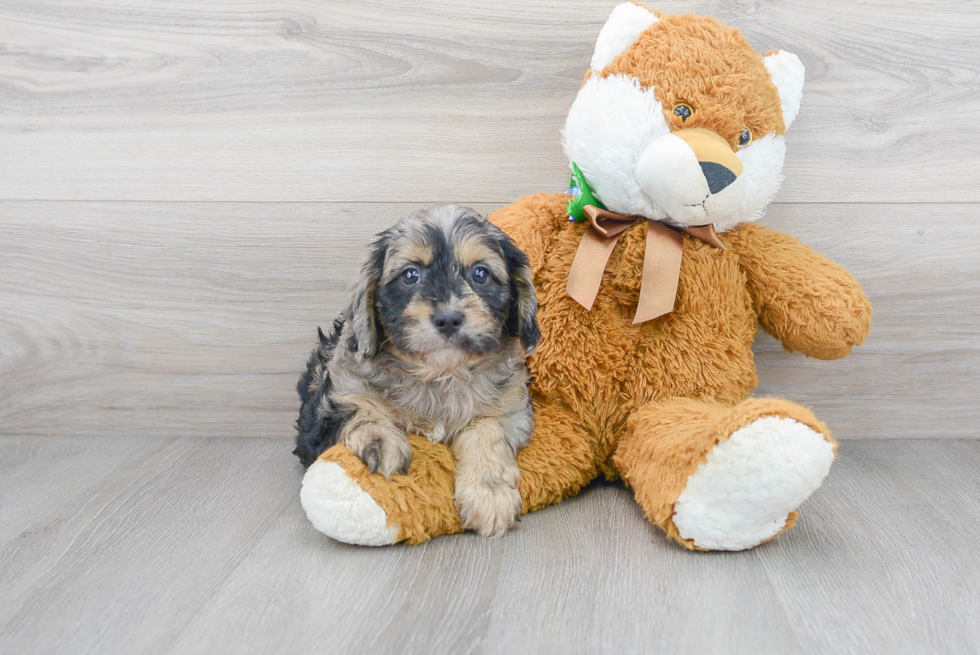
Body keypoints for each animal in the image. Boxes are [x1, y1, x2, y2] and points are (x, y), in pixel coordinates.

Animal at [294, 205, 540, 540]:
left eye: (480, 274)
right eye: (410, 275)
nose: (448, 319)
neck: (438, 374)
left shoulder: (511, 408)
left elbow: (488, 431)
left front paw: (489, 494)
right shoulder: (331, 402)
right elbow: (359, 411)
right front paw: (381, 440)